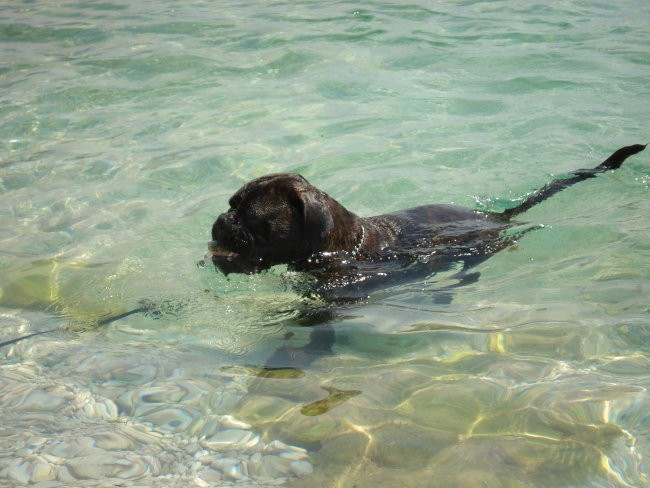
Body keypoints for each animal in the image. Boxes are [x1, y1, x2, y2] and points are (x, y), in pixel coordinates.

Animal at [209, 143, 644, 300]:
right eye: (232, 204)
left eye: (250, 218)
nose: (222, 219)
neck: (346, 243)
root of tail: (494, 216)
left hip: (481, 251)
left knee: (471, 270)